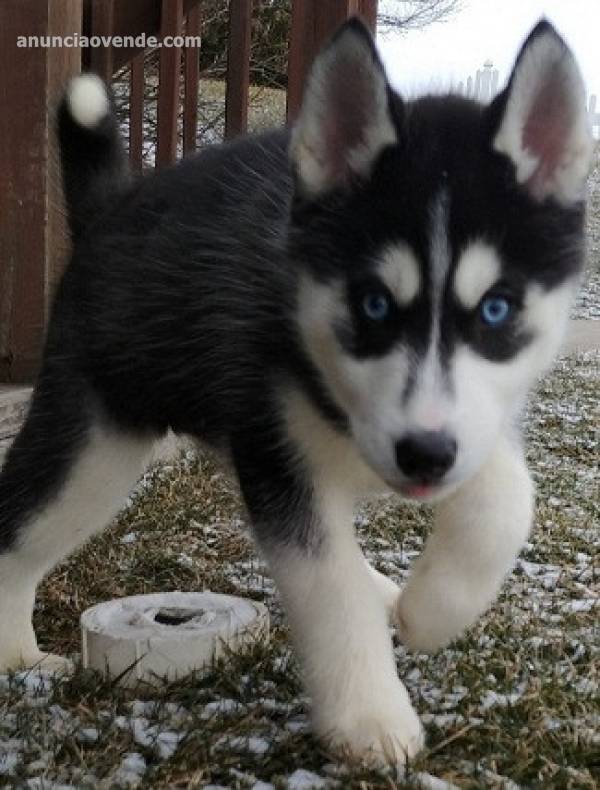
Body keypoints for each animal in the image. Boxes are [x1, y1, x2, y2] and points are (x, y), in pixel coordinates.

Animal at [0, 17, 592, 760]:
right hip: (94, 448)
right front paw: (369, 717)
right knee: (21, 525)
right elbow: (329, 587)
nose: (423, 457)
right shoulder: (278, 459)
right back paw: (16, 655)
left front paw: (430, 610)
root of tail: (111, 209)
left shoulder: (472, 423)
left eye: (496, 309)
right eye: (373, 304)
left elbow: (508, 499)